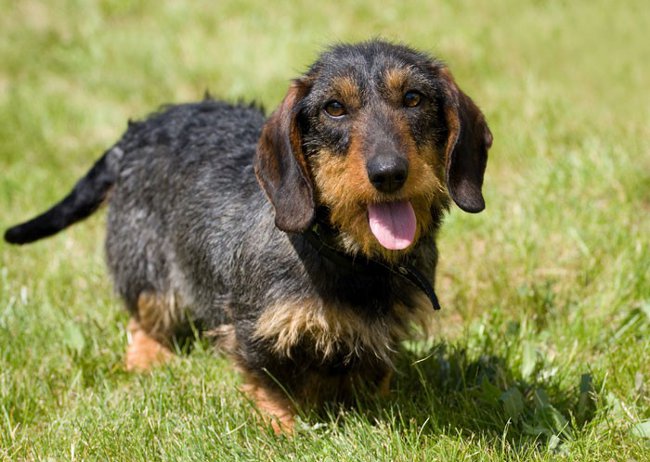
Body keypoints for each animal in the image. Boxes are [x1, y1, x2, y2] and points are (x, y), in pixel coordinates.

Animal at [3, 39, 492, 434]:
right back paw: (148, 359)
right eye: (334, 107)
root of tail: (136, 132)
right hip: (147, 267)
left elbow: (373, 373)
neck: (350, 260)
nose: (389, 173)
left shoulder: (383, 331)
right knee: (143, 317)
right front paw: (284, 431)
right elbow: (271, 383)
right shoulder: (255, 328)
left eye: (413, 98)